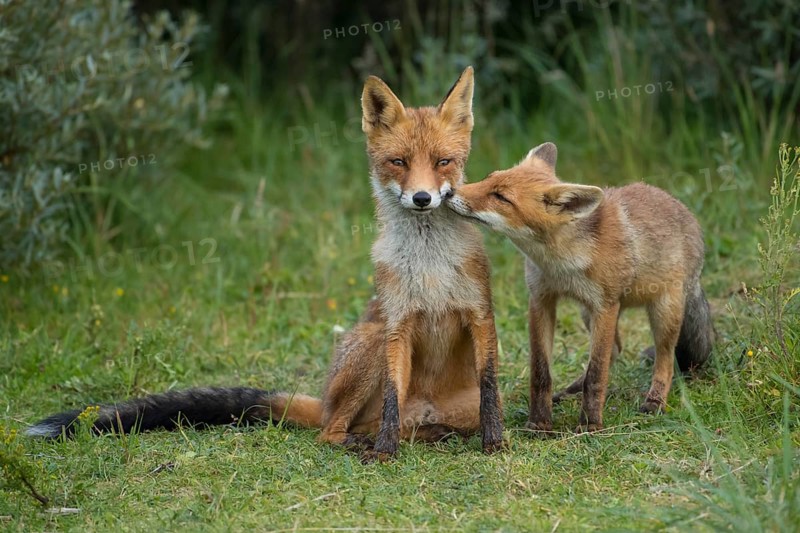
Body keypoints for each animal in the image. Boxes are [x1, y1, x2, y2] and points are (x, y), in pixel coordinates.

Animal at [26, 68, 504, 459]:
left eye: (443, 162)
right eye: (398, 162)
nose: (422, 198)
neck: (430, 267)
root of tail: (323, 399)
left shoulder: (480, 316)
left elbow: (490, 390)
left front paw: (495, 442)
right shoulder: (397, 326)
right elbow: (390, 401)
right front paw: (385, 453)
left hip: (448, 405)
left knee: (409, 424)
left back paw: (433, 435)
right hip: (369, 344)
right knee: (334, 431)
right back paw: (363, 441)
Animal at [445, 142, 714, 433]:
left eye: (500, 197)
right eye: (489, 178)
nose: (448, 192)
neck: (560, 264)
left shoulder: (605, 306)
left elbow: (596, 375)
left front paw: (590, 425)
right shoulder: (541, 299)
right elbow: (541, 371)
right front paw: (539, 423)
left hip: (663, 313)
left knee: (665, 360)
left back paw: (654, 401)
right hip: (589, 314)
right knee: (615, 352)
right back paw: (570, 391)